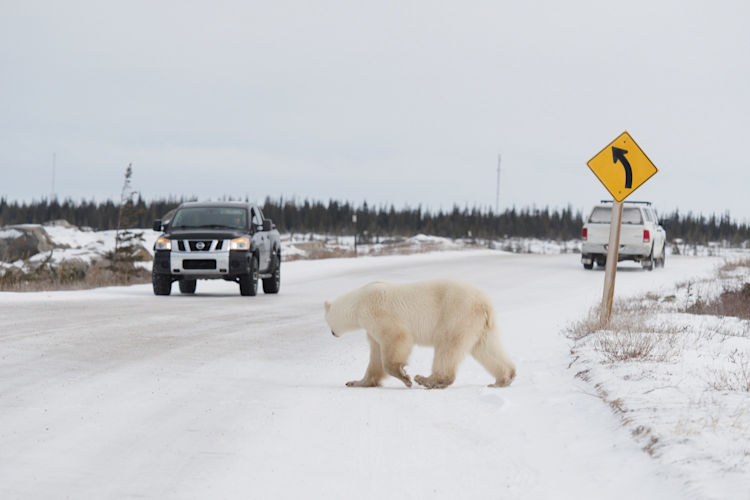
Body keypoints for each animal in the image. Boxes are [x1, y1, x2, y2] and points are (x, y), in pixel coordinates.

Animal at [324, 279, 516, 389]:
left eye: (326, 321)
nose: (332, 333)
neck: (359, 301)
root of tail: (486, 304)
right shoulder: (371, 328)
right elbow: (376, 354)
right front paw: (356, 382)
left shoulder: (376, 312)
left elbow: (397, 337)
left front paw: (405, 377)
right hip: (479, 326)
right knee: (487, 348)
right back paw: (503, 379)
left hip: (456, 314)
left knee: (447, 345)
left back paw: (427, 379)